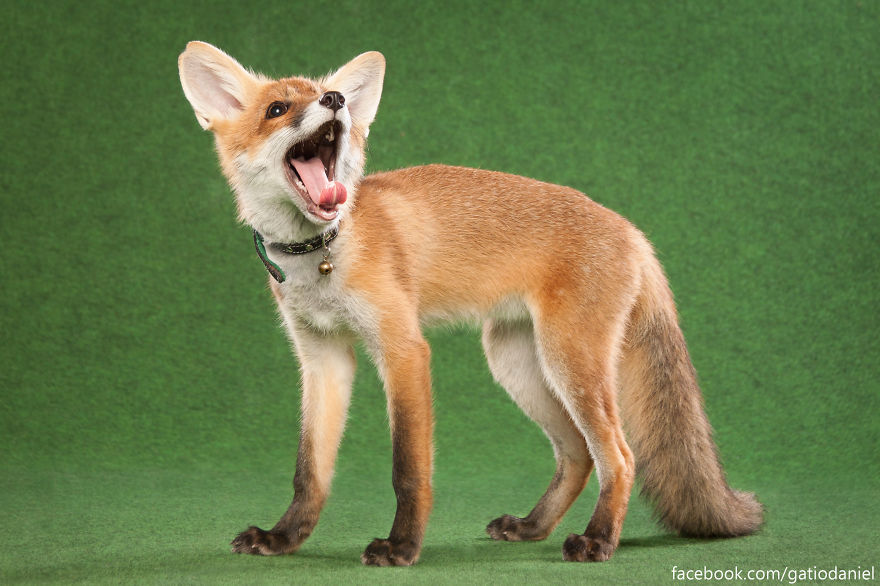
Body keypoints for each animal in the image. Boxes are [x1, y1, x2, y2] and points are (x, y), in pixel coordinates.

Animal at [177, 41, 763, 566]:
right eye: (277, 109)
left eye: (325, 95)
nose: (338, 99)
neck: (320, 255)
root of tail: (632, 230)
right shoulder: (322, 358)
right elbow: (309, 471)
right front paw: (284, 538)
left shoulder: (404, 350)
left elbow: (408, 469)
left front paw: (402, 548)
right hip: (516, 363)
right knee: (577, 454)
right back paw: (533, 526)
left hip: (569, 362)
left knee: (618, 456)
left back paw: (598, 540)